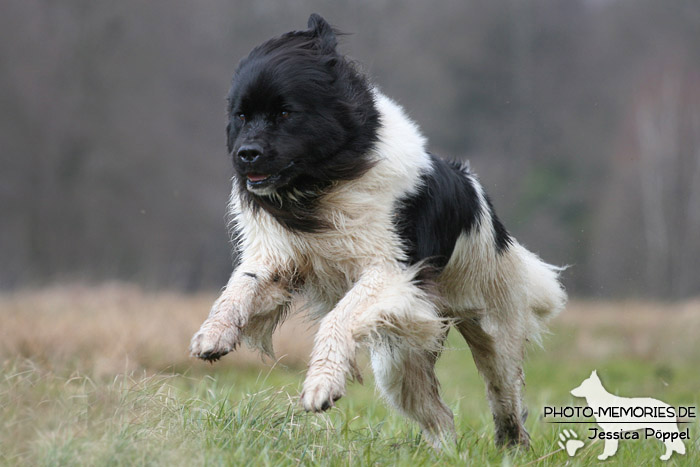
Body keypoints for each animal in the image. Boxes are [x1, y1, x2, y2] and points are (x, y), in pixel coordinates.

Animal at [189, 12, 568, 448]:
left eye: (285, 114)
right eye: (241, 116)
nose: (245, 154)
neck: (324, 184)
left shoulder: (389, 270)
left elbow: (339, 317)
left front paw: (320, 386)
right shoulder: (281, 257)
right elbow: (240, 286)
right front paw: (213, 335)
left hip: (493, 324)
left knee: (504, 392)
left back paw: (511, 444)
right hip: (398, 358)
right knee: (439, 415)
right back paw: (448, 453)